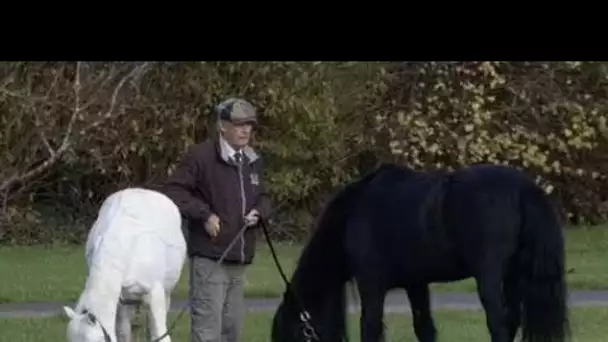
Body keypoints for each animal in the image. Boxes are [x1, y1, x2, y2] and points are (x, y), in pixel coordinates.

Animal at [274, 163, 568, 342]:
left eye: (293, 335)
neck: (354, 215)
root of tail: (525, 188)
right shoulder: (416, 284)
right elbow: (424, 327)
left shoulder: (371, 284)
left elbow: (370, 327)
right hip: (514, 277)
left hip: (490, 277)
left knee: (499, 323)